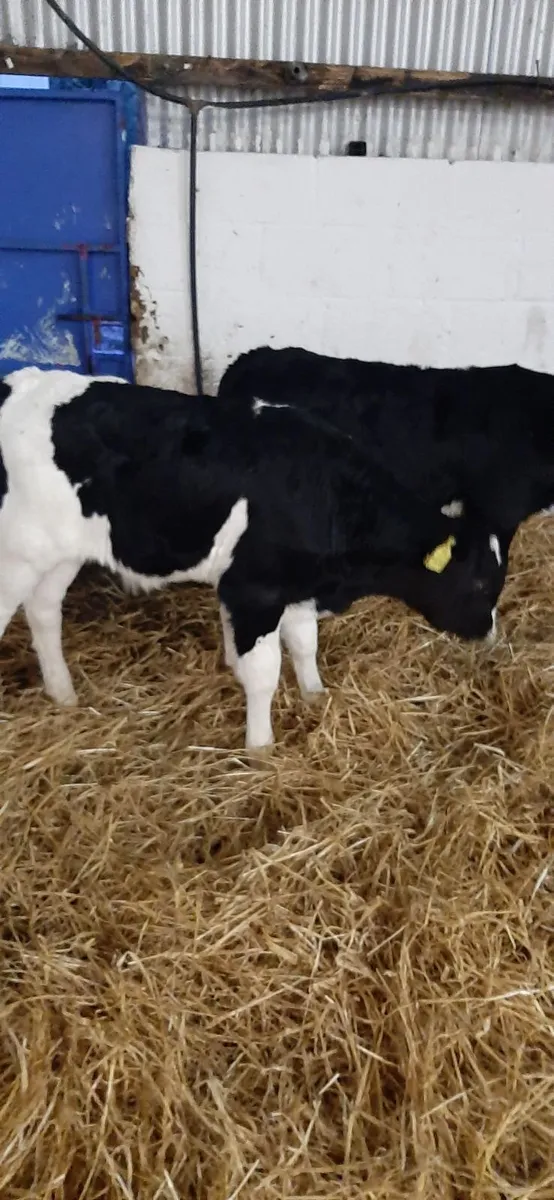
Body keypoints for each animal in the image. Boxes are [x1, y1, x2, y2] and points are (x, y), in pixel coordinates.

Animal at [0, 367, 506, 756]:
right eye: (479, 584)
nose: (490, 634)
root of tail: (18, 383)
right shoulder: (255, 590)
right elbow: (263, 672)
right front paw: (261, 746)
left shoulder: (296, 585)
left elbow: (304, 644)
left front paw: (314, 695)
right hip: (18, 553)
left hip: (60, 553)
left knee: (43, 611)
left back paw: (63, 693)